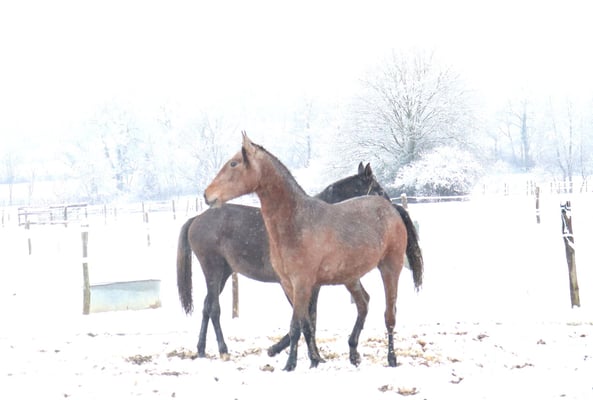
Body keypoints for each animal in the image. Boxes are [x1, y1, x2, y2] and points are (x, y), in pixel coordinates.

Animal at [177, 161, 389, 360]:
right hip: (213, 270)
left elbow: (310, 317)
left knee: (206, 307)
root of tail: (196, 219)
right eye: (378, 190)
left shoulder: (311, 286)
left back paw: (201, 349)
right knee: (214, 309)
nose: (392, 212)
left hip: (223, 274)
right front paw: (282, 350)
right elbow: (306, 317)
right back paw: (223, 350)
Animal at [204, 132, 423, 371]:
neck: (296, 221)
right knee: (363, 303)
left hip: (389, 268)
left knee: (389, 315)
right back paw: (353, 353)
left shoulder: (303, 283)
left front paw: (290, 364)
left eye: (234, 163)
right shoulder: (290, 284)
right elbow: (305, 323)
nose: (207, 195)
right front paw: (313, 360)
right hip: (350, 277)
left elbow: (297, 325)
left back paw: (391, 358)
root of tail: (392, 209)